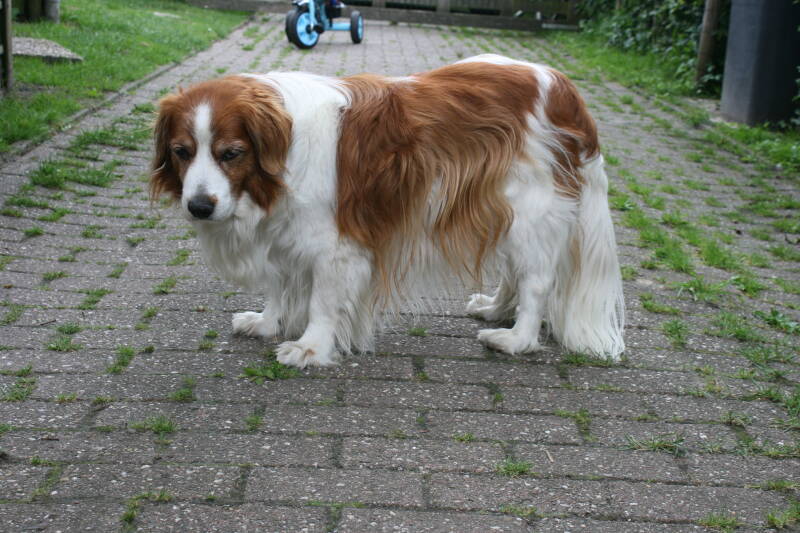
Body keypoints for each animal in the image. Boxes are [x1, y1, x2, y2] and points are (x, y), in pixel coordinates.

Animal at [150, 54, 625, 368]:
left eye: (231, 154)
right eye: (181, 152)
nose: (199, 206)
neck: (284, 147)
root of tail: (564, 87)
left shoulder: (336, 246)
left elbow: (321, 301)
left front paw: (310, 347)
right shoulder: (285, 232)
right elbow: (280, 284)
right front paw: (268, 322)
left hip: (533, 210)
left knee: (538, 281)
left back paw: (515, 338)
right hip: (503, 207)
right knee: (516, 271)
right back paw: (495, 308)